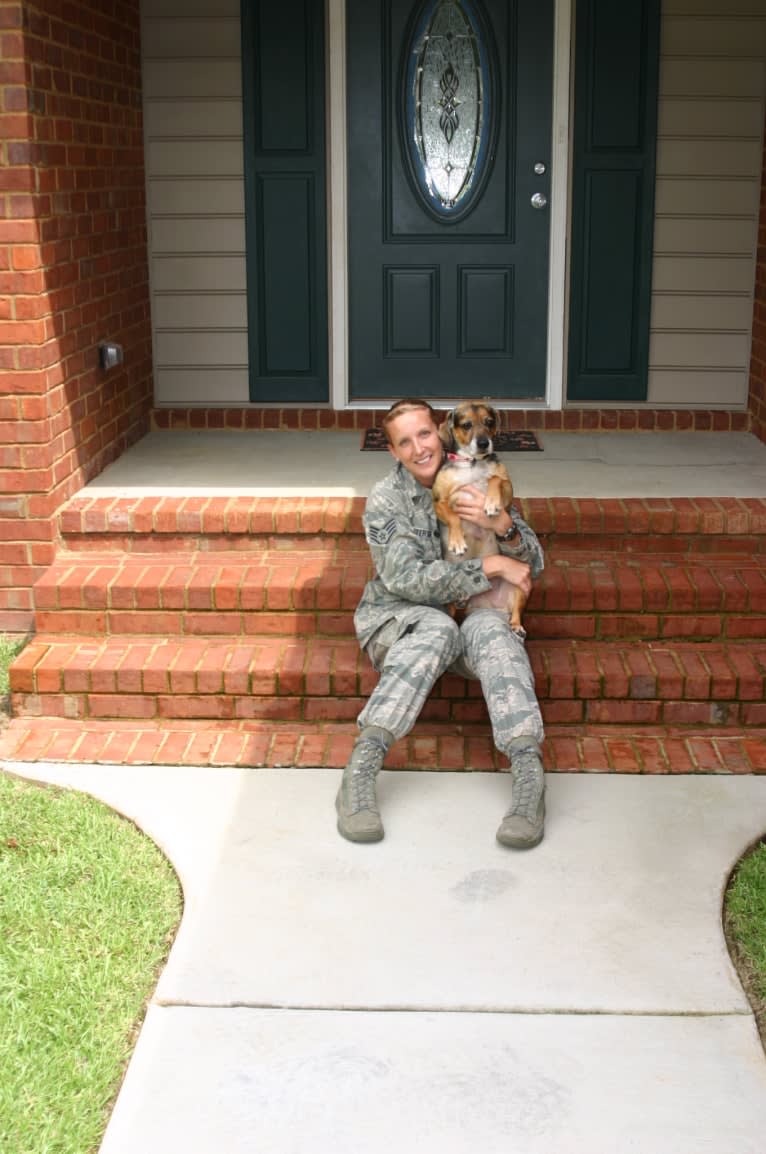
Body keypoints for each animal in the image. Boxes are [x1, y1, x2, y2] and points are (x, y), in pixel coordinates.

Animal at [433, 403, 523, 632]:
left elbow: (494, 479)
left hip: (519, 584)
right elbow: (453, 517)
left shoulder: (508, 490)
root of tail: (488, 603)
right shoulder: (439, 502)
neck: (473, 464)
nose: (484, 443)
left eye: (489, 422)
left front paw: (491, 503)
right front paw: (457, 542)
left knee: (517, 610)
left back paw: (516, 625)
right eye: (466, 425)